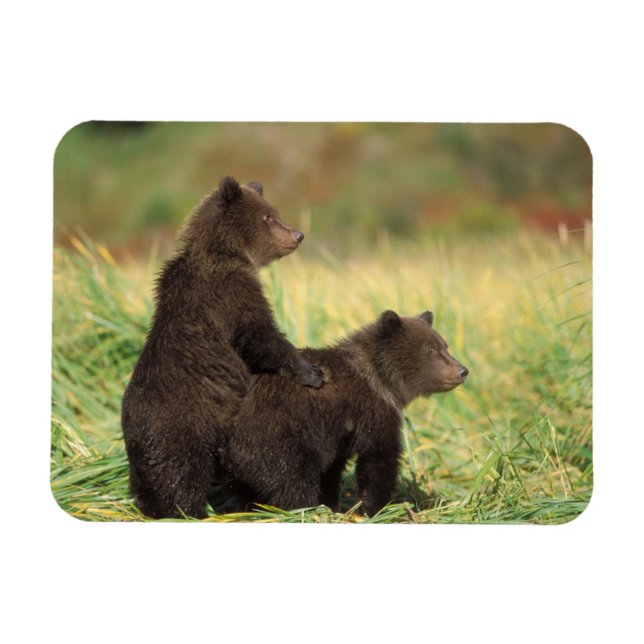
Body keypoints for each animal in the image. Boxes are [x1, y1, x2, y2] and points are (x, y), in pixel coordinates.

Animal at [121, 176, 325, 520]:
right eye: (268, 216)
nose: (298, 234)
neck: (224, 251)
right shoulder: (229, 292)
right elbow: (259, 335)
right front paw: (313, 372)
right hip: (184, 428)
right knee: (181, 476)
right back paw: (190, 511)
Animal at [220, 310, 468, 516]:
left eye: (445, 345)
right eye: (430, 349)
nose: (462, 370)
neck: (382, 379)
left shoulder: (338, 433)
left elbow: (333, 469)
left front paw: (333, 504)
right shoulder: (371, 410)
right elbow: (378, 459)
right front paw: (372, 508)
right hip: (278, 435)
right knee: (293, 479)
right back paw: (301, 509)